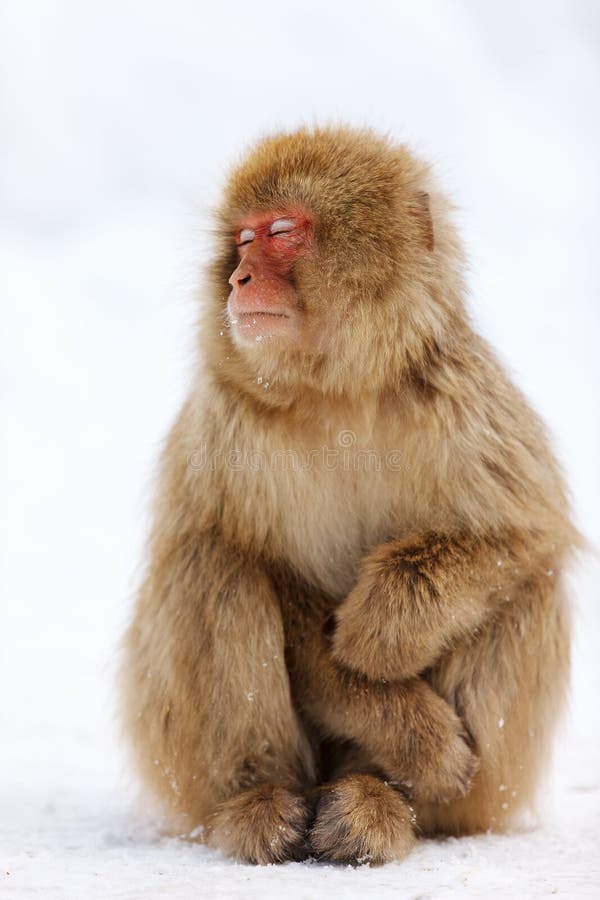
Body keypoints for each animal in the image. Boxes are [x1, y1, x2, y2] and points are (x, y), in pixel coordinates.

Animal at [121, 125, 578, 866]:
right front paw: (414, 730)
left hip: (489, 787)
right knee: (210, 562)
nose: (239, 278)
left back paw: (379, 801)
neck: (334, 393)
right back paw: (259, 801)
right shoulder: (224, 423)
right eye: (243, 240)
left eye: (282, 232)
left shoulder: (463, 395)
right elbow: (267, 576)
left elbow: (524, 535)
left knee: (526, 588)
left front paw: (384, 626)